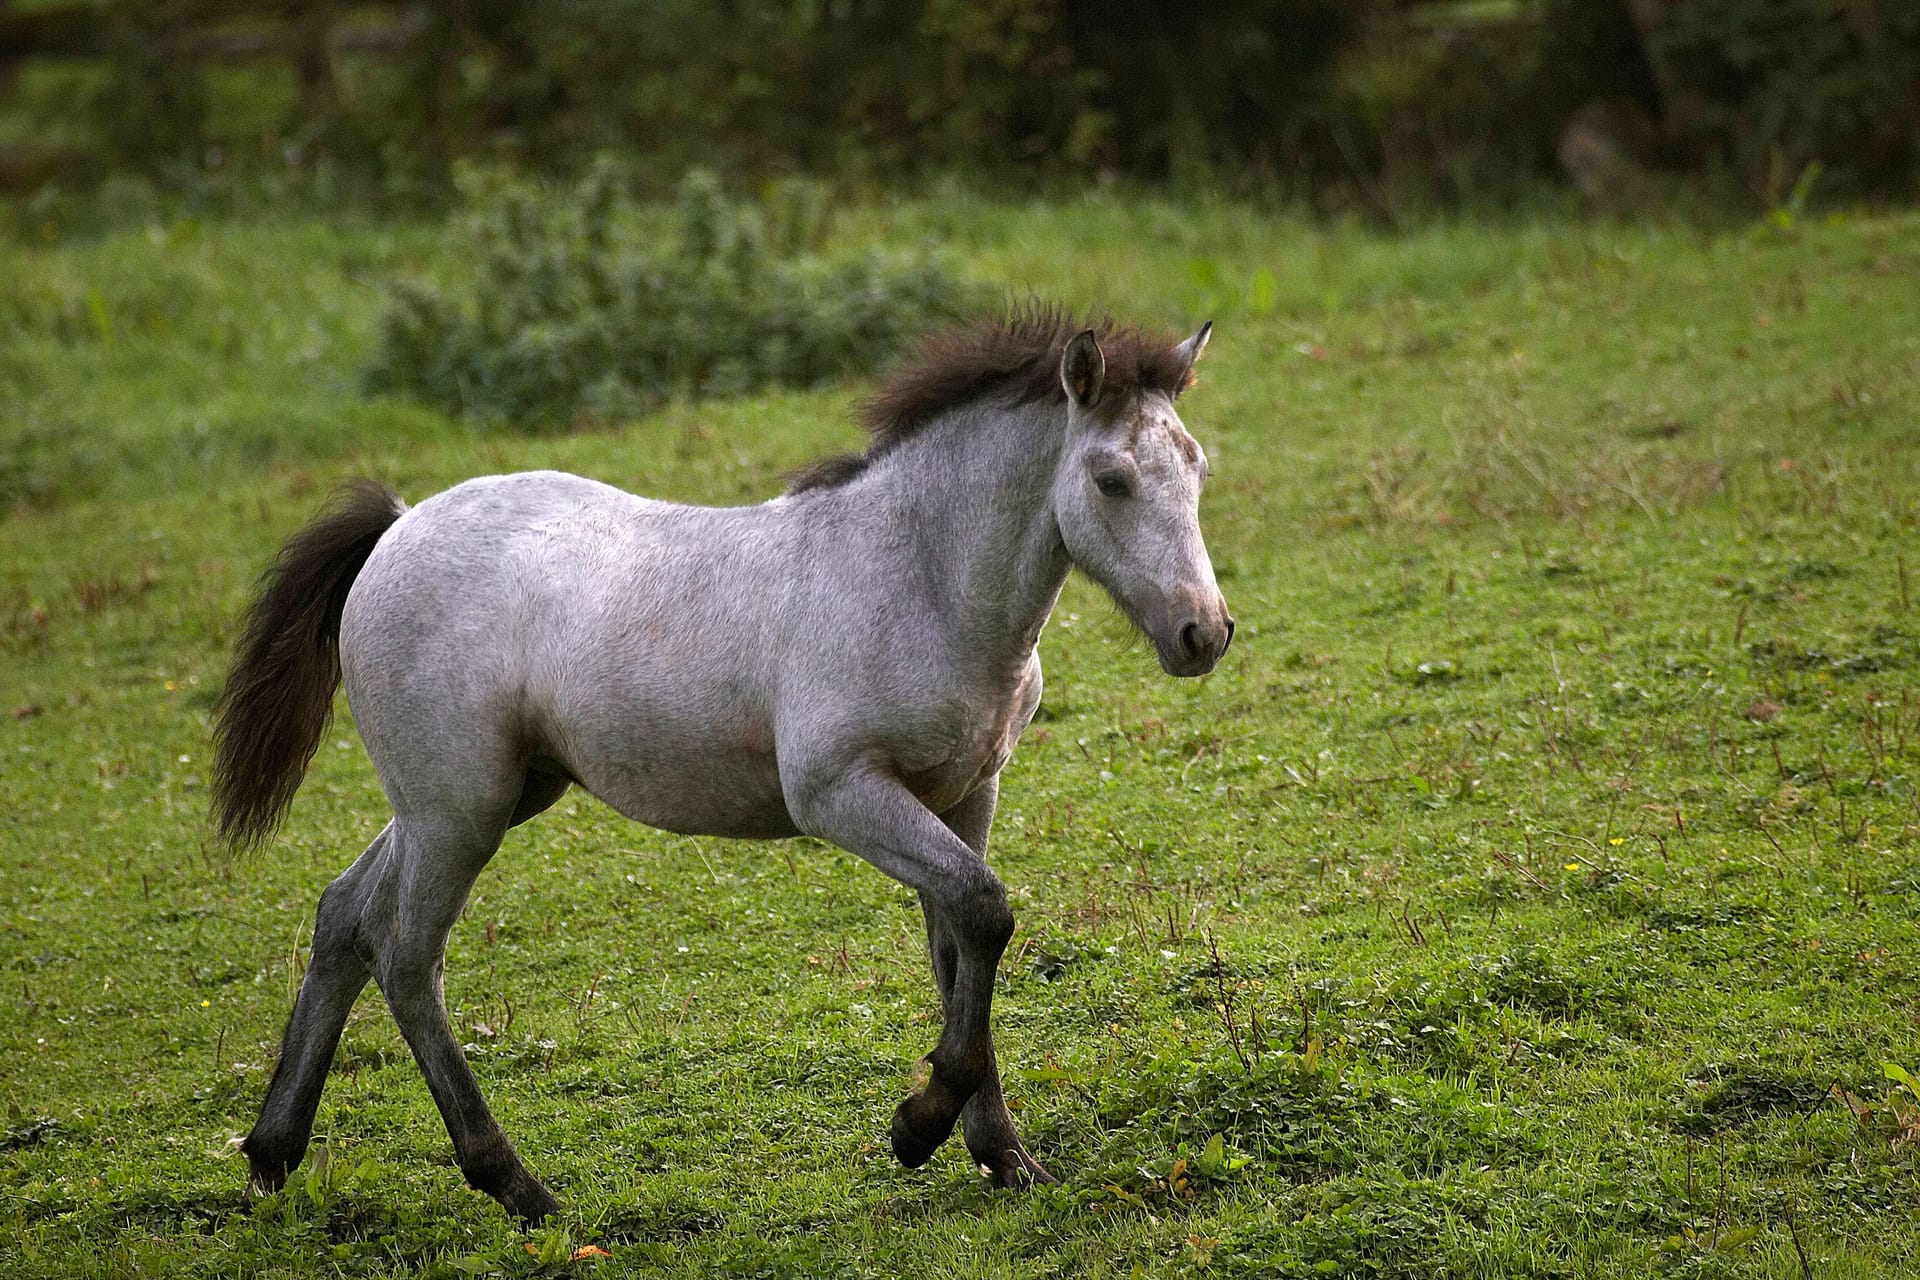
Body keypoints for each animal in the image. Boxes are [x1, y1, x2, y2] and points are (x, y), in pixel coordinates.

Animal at [210, 305, 1228, 1228]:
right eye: (1110, 478)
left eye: (1198, 467)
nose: (1203, 632)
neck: (915, 578)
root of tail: (397, 524)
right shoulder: (838, 792)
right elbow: (985, 910)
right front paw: (918, 1128)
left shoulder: (966, 793)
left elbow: (958, 945)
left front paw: (1003, 1154)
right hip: (457, 810)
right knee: (408, 956)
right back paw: (517, 1186)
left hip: (478, 797)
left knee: (344, 915)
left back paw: (271, 1153)